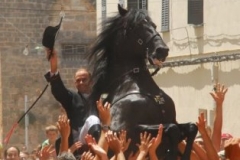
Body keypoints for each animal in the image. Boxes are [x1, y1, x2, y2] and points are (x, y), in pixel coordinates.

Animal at [88, 4, 197, 159]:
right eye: (135, 26)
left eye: (154, 25)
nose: (162, 50)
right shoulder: (129, 129)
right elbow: (172, 129)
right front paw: (170, 152)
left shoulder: (173, 120)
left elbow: (192, 127)